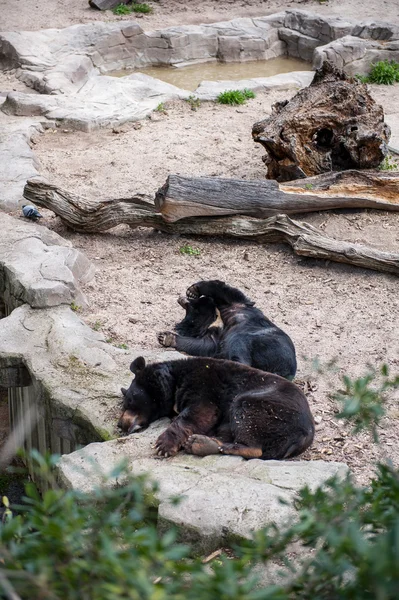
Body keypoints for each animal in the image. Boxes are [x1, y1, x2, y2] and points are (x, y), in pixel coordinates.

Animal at [119, 356, 316, 460]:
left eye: (130, 400)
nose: (121, 424)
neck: (174, 381)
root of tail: (306, 434)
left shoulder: (204, 384)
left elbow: (202, 411)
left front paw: (164, 444)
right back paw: (201, 443)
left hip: (267, 408)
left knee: (250, 427)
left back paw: (201, 443)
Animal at [158, 280, 298, 380]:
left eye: (191, 305)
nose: (180, 299)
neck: (216, 318)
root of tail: (285, 371)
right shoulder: (213, 336)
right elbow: (201, 345)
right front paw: (165, 337)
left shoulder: (237, 305)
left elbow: (224, 290)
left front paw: (192, 290)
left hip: (266, 343)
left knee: (240, 347)